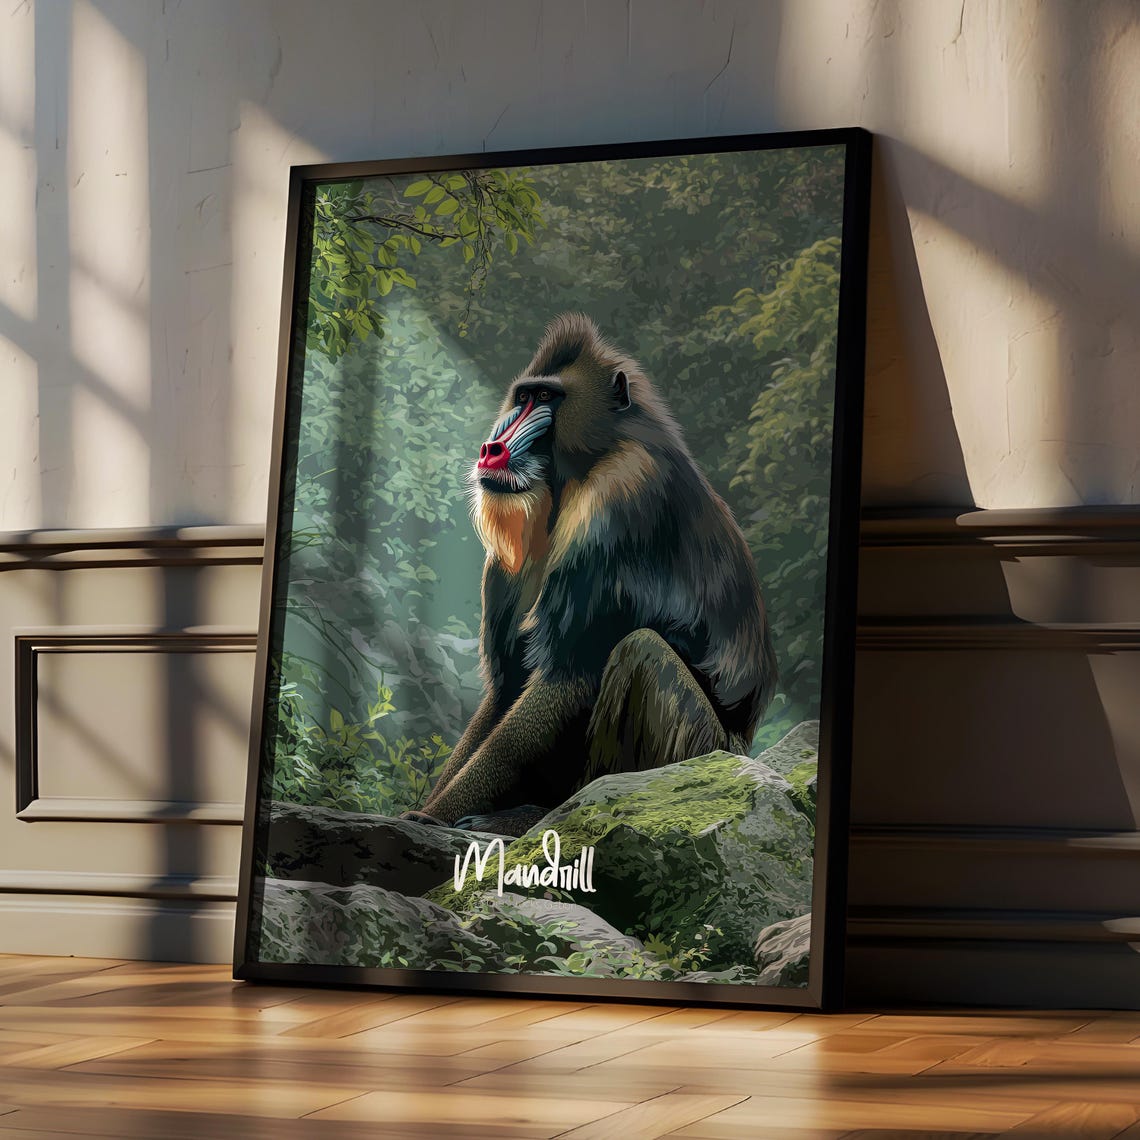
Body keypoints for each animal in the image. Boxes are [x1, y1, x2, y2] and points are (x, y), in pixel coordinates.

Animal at [404, 313, 777, 834]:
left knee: (642, 651)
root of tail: (742, 749)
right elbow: (505, 688)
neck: (575, 472)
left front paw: (430, 816)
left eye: (548, 398)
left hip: (698, 751)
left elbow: (564, 678)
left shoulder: (618, 499)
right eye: (524, 397)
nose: (491, 449)